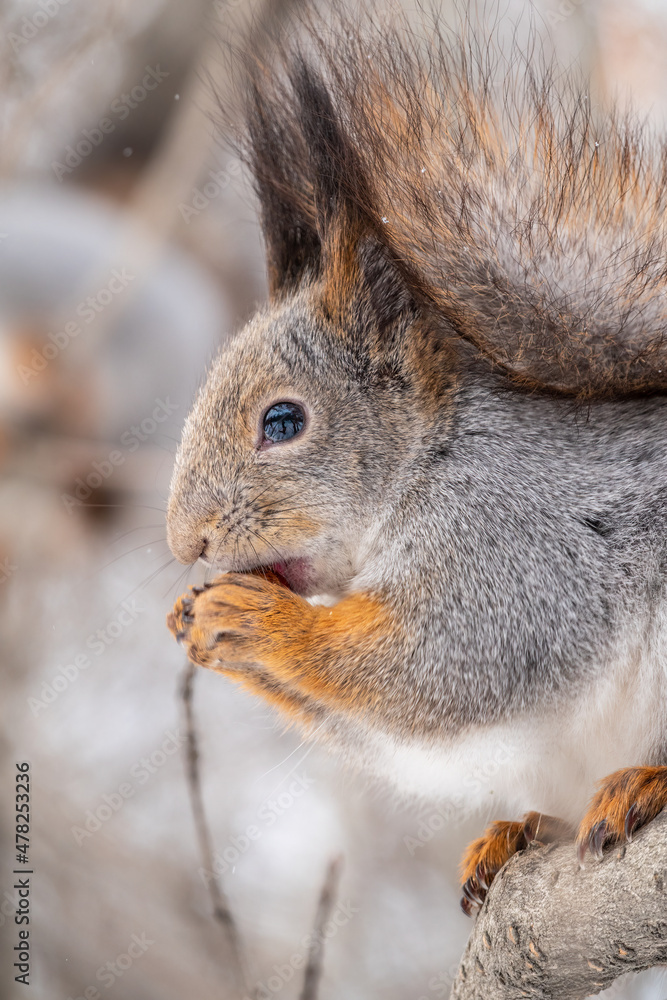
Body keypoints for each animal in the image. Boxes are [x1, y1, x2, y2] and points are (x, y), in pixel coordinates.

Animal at [165, 8, 667, 914]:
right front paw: (194, 621)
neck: (426, 463)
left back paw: (642, 781)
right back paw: (515, 831)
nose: (188, 543)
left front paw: (261, 622)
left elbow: (439, 663)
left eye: (283, 421)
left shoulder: (516, 545)